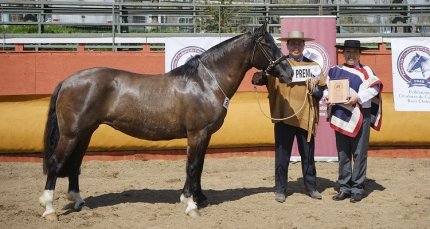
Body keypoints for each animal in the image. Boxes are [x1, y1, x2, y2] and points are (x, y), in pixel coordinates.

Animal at [39, 23, 292, 220]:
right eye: (269, 45)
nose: (289, 72)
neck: (204, 83)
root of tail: (67, 81)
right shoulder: (196, 133)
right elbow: (192, 166)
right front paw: (190, 205)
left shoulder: (205, 135)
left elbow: (199, 167)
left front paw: (199, 198)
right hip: (71, 134)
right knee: (56, 163)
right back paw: (49, 208)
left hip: (85, 133)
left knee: (74, 164)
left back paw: (79, 202)